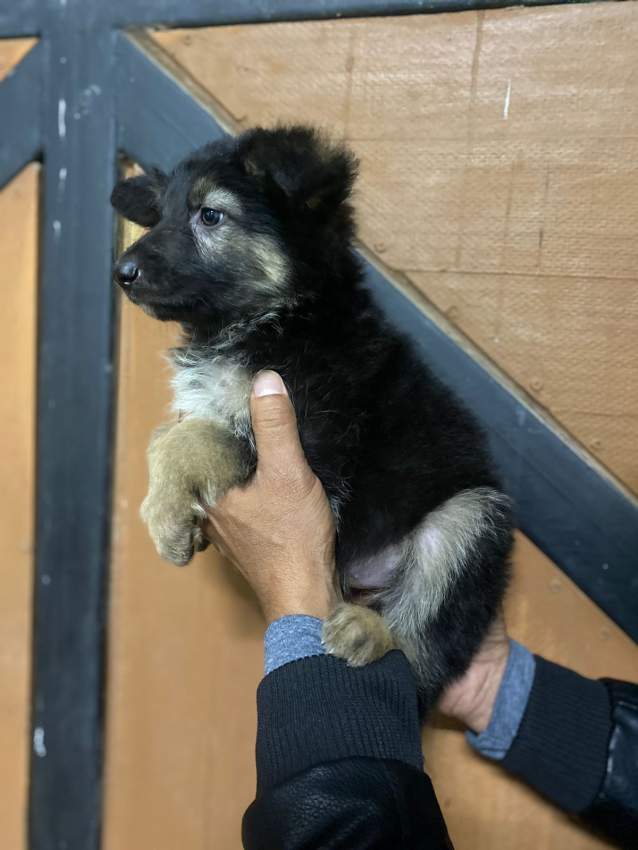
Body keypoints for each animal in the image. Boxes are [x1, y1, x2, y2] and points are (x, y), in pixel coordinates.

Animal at [111, 124, 516, 704]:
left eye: (210, 215)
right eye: (160, 214)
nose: (122, 272)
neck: (276, 317)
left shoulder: (310, 441)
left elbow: (195, 439)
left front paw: (163, 517)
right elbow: (166, 436)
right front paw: (174, 510)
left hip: (469, 517)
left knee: (425, 650)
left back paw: (370, 631)